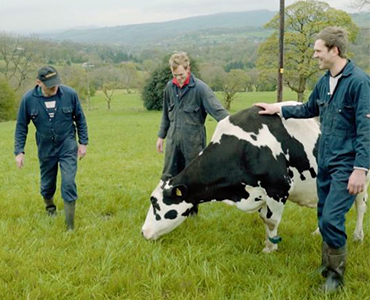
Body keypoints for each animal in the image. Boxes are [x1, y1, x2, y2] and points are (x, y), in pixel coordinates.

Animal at [142, 103, 368, 253]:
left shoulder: (278, 189)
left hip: (361, 179)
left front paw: (271, 248)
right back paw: (319, 233)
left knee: (360, 207)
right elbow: (264, 218)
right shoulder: (260, 194)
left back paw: (358, 236)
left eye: (156, 204)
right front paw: (268, 243)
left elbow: (271, 220)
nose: (143, 232)